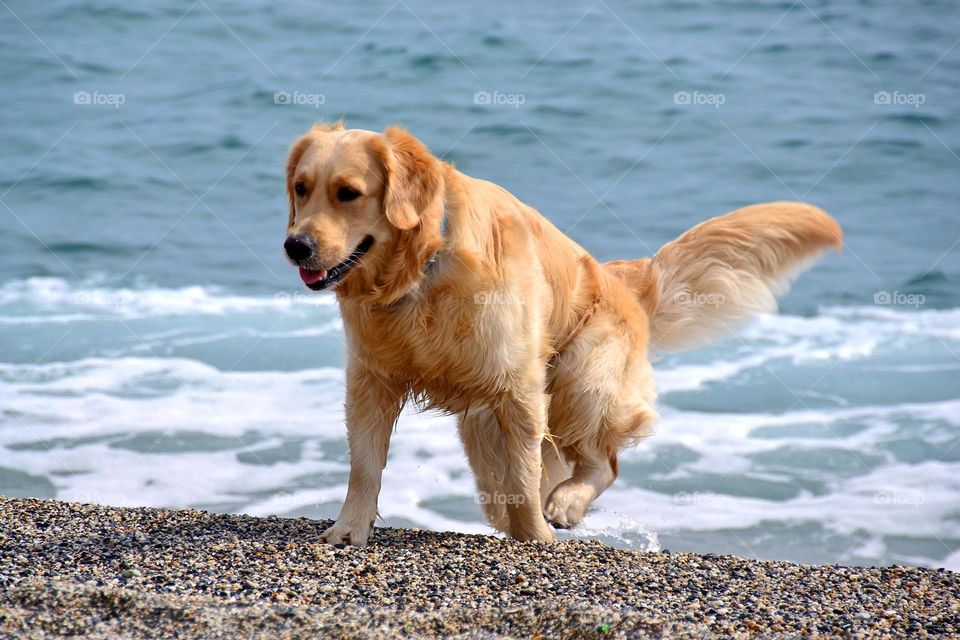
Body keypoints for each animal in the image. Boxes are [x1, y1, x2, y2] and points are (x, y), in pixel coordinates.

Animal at [284, 124, 840, 544]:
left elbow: (525, 477)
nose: (295, 246)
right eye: (301, 188)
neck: (421, 272)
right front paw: (349, 529)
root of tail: (625, 279)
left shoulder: (519, 389)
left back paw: (566, 504)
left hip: (580, 378)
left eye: (349, 193)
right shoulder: (370, 379)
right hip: (487, 428)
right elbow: (365, 464)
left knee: (603, 461)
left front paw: (536, 539)